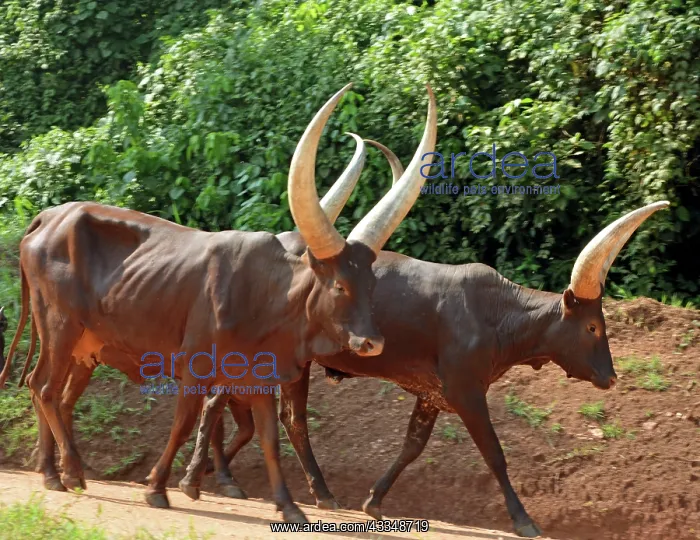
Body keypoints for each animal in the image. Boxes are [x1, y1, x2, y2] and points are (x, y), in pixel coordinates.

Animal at [0, 83, 438, 523]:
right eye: (339, 286)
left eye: (370, 284)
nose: (372, 343)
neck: (264, 299)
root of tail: (49, 218)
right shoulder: (196, 369)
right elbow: (186, 423)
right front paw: (159, 487)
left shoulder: (259, 377)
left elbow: (267, 437)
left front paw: (288, 506)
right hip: (59, 329)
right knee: (43, 389)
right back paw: (66, 473)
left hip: (83, 348)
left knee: (56, 396)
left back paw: (56, 469)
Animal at [178, 141, 670, 537]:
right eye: (592, 327)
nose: (611, 378)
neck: (497, 315)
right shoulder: (466, 392)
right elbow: (495, 454)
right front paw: (524, 520)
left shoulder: (432, 394)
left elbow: (412, 447)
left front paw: (374, 501)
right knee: (267, 413)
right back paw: (213, 481)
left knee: (245, 407)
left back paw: (235, 478)